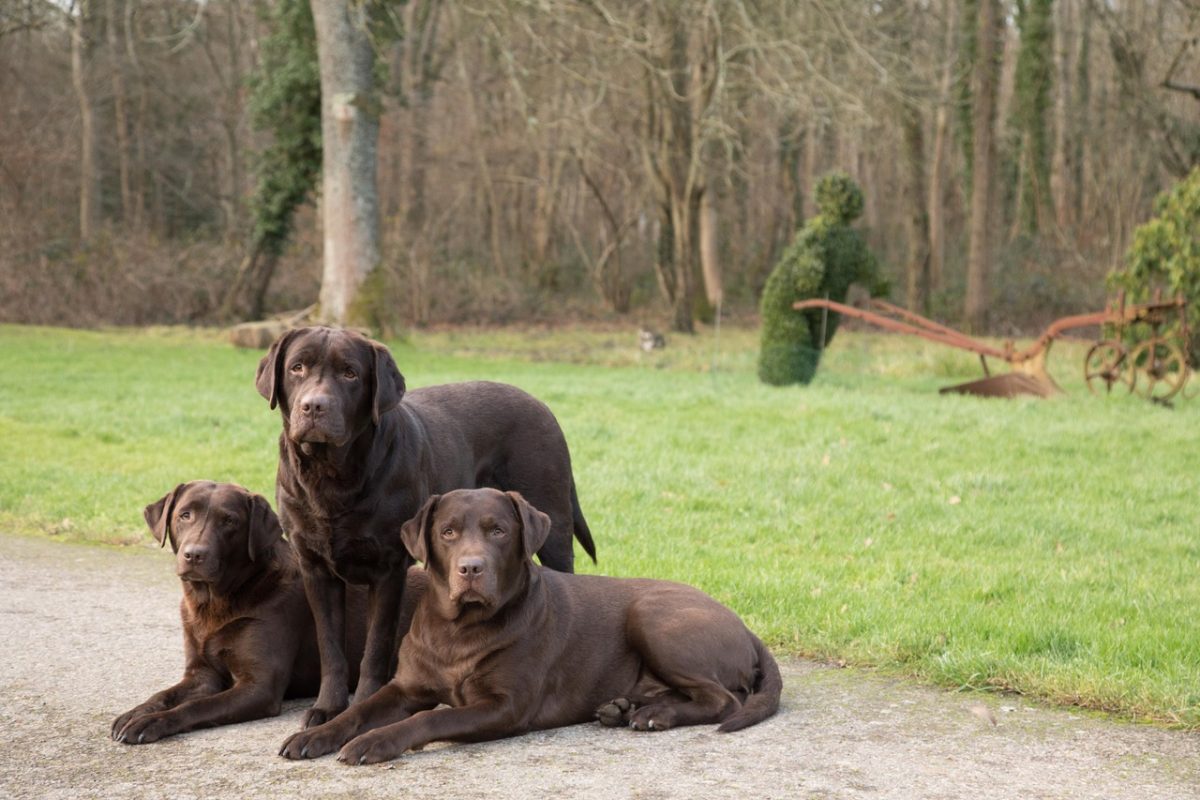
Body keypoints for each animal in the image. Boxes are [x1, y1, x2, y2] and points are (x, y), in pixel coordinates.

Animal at [111, 482, 400, 743]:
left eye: (229, 521)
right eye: (184, 515)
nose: (194, 555)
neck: (214, 602)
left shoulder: (260, 686)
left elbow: (196, 706)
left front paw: (151, 722)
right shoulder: (202, 674)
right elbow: (163, 694)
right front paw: (136, 713)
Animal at [255, 326, 592, 734]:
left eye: (350, 373)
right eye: (297, 368)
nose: (314, 406)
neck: (333, 476)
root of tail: (541, 405)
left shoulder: (387, 568)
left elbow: (376, 645)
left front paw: (362, 703)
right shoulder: (315, 568)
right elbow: (330, 647)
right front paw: (328, 708)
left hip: (553, 521)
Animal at [282, 489, 787, 762]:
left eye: (498, 531)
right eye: (448, 532)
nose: (470, 568)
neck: (460, 630)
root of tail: (744, 625)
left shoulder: (504, 706)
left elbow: (430, 717)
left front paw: (375, 742)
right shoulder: (405, 686)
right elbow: (357, 711)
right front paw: (314, 735)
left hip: (653, 618)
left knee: (723, 699)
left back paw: (654, 715)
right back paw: (623, 707)